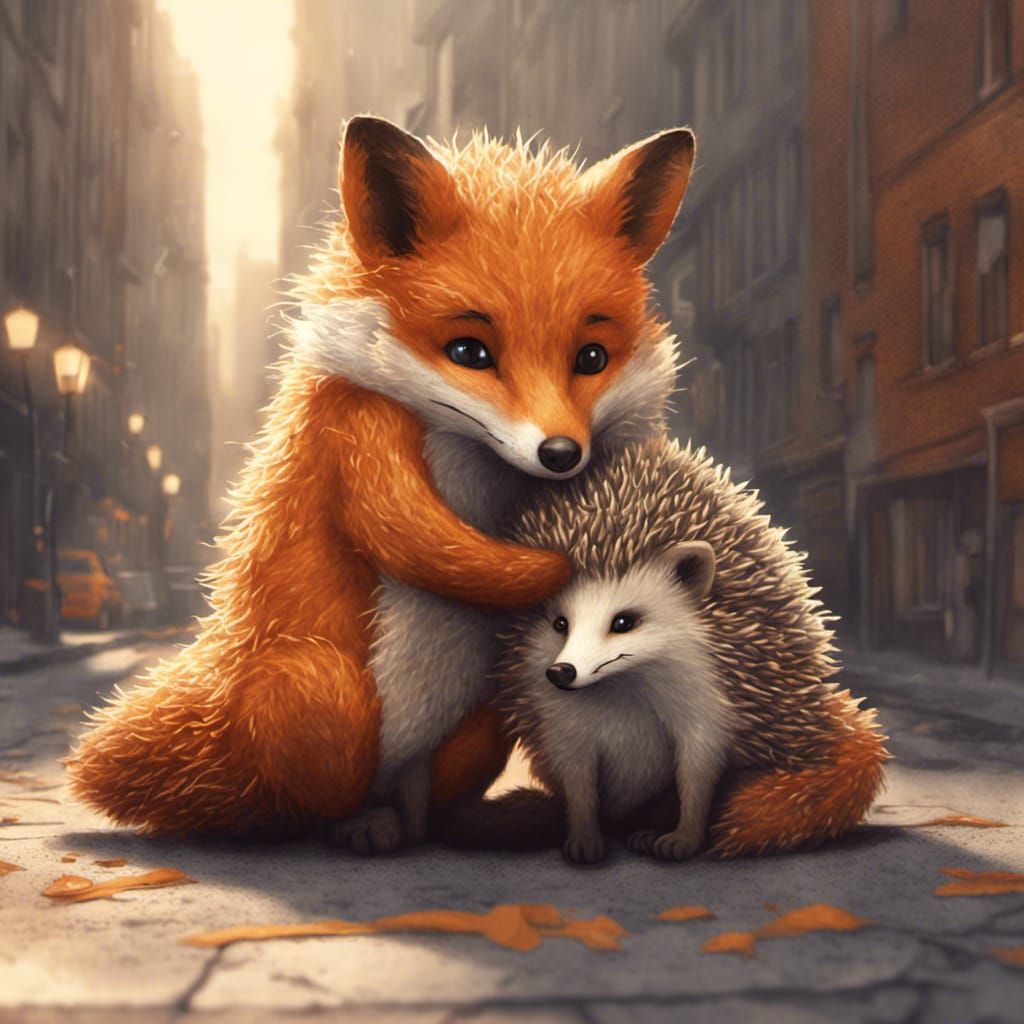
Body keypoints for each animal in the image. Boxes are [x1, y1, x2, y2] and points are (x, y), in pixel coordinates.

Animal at [66, 117, 694, 844]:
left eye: (591, 357)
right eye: (469, 351)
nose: (562, 453)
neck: (470, 460)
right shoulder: (361, 436)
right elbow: (419, 540)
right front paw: (554, 566)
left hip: (482, 716)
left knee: (422, 796)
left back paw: (452, 821)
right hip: (326, 692)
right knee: (309, 801)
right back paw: (354, 828)